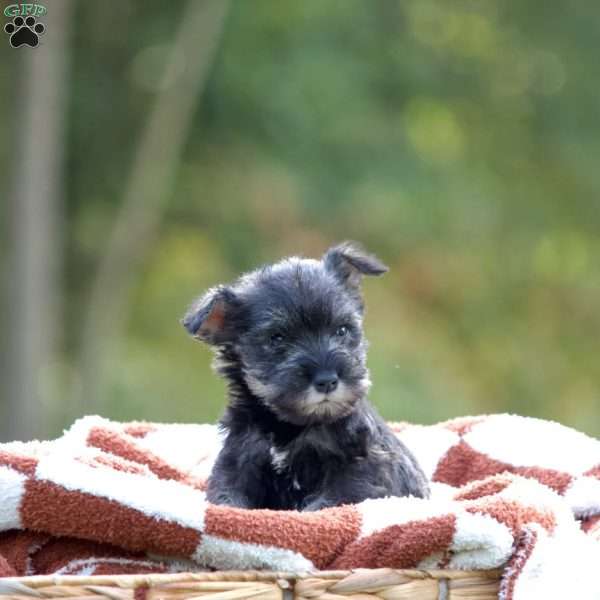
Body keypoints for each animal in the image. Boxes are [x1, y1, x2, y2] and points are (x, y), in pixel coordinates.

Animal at [184, 244, 432, 510]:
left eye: (342, 330)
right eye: (277, 338)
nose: (327, 380)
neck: (291, 426)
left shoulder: (363, 470)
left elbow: (326, 502)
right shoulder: (240, 458)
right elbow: (227, 496)